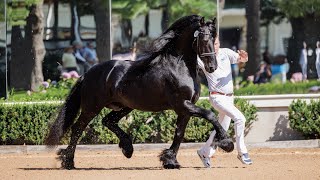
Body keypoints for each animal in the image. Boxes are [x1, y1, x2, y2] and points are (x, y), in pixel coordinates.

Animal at [45, 14, 232, 169]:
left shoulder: (185, 109)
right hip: (92, 107)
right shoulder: (182, 104)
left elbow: (179, 133)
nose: (212, 66)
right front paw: (227, 143)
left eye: (214, 37)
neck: (179, 66)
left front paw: (170, 160)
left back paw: (127, 148)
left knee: (108, 121)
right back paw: (68, 161)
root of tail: (87, 73)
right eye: (204, 37)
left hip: (125, 106)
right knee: (78, 128)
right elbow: (210, 114)